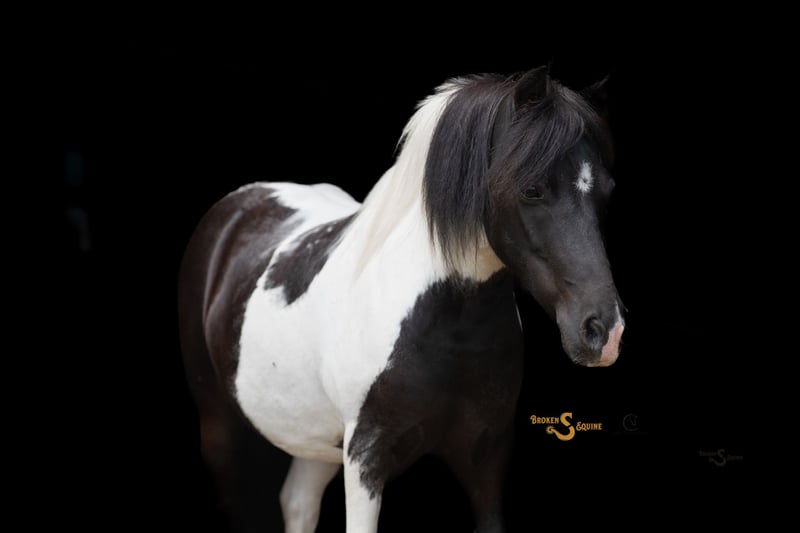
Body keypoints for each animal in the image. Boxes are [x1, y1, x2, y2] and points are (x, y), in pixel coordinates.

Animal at [178, 66, 624, 533]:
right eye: (533, 189)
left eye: (607, 191)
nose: (604, 332)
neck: (446, 327)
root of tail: (237, 205)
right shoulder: (366, 459)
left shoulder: (486, 458)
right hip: (220, 427)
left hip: (316, 441)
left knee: (298, 502)